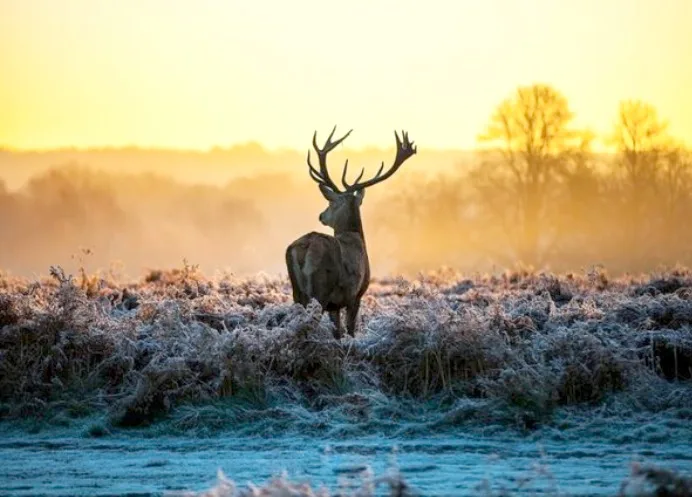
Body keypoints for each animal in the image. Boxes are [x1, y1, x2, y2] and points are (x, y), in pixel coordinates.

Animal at [285, 126, 417, 339]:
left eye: (331, 203)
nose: (321, 215)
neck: (356, 237)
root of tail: (305, 246)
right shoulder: (356, 295)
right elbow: (350, 330)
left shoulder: (335, 305)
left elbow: (337, 331)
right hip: (320, 288)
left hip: (297, 291)